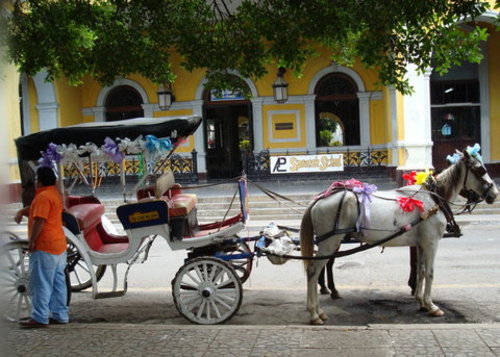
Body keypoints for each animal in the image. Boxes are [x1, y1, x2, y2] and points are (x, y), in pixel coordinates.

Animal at [298, 149, 498, 324]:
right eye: (480, 169)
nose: (494, 194)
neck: (434, 199)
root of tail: (319, 199)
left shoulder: (421, 244)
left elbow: (421, 271)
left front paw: (421, 301)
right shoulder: (431, 243)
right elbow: (430, 272)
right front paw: (432, 305)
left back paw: (320, 310)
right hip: (330, 242)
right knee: (313, 271)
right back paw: (314, 313)